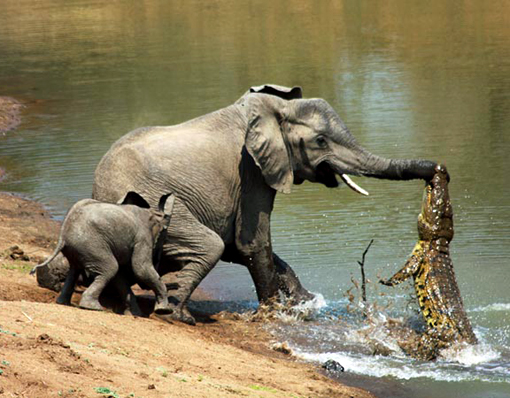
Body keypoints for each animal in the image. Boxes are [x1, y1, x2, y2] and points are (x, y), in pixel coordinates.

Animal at [32, 191, 175, 316]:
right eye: (164, 235)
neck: (153, 212)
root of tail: (63, 233)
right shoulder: (142, 238)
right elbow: (140, 269)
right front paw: (164, 311)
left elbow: (121, 277)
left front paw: (135, 314)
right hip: (91, 244)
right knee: (110, 268)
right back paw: (93, 307)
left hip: (79, 247)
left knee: (75, 270)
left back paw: (64, 303)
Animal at [91, 84, 434, 324]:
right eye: (320, 141)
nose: (437, 170)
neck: (273, 110)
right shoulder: (251, 172)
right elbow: (251, 243)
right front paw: (275, 314)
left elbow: (240, 247)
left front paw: (306, 303)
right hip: (152, 206)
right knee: (209, 245)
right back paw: (179, 316)